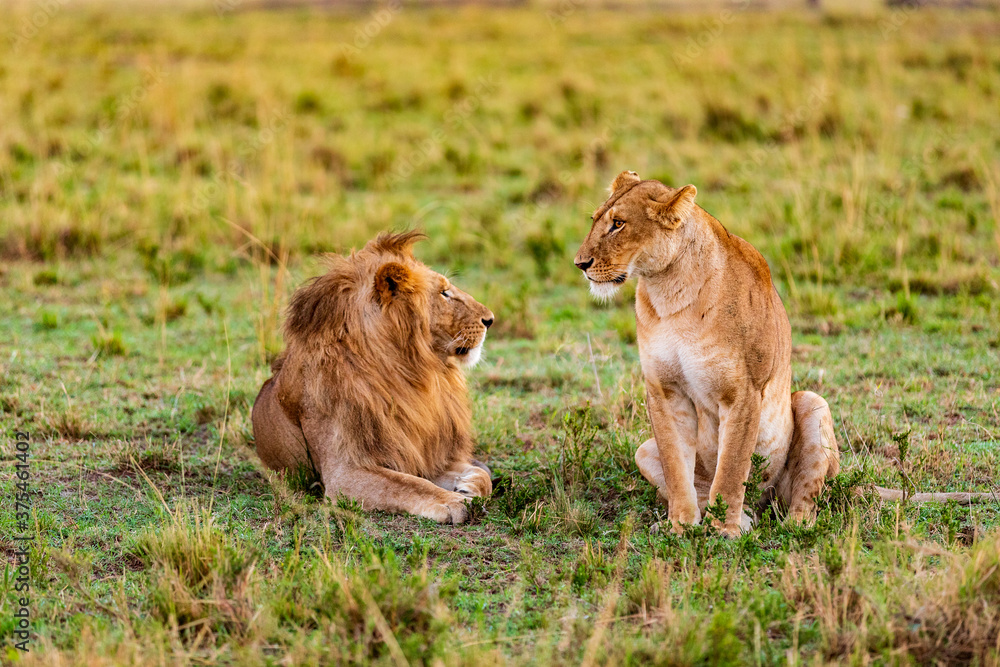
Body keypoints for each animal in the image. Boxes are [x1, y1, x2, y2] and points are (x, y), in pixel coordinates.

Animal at [251, 231, 495, 524]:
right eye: (444, 293)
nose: (490, 319)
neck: (410, 374)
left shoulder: (419, 453)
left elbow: (480, 475)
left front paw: (468, 486)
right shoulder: (345, 474)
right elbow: (408, 484)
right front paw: (453, 501)